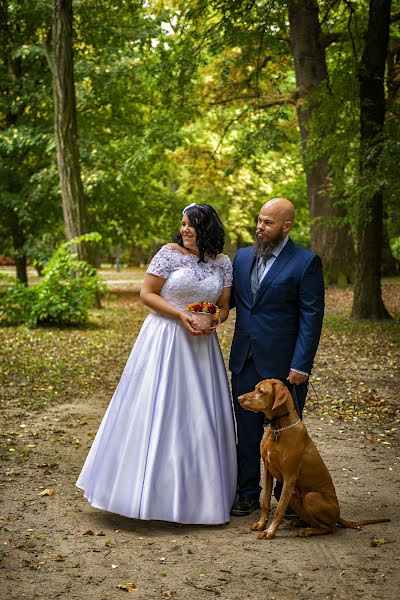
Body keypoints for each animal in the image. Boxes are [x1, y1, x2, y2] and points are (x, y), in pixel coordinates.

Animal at [239, 380, 390, 540]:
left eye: (261, 391)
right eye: (255, 388)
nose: (238, 398)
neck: (278, 429)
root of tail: (338, 515)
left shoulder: (289, 478)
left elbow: (279, 509)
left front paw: (270, 531)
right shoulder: (268, 471)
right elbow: (266, 501)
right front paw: (261, 524)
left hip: (311, 497)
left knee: (330, 528)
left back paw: (307, 531)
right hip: (294, 494)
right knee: (312, 520)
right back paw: (298, 523)